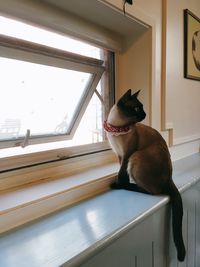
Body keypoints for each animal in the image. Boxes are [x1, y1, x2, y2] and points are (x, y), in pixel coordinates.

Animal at [104, 89, 186, 262]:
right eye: (136, 108)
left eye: (141, 108)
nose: (144, 114)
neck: (117, 128)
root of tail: (170, 178)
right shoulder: (119, 155)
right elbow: (120, 171)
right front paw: (120, 181)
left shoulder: (127, 154)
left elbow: (121, 173)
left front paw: (118, 183)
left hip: (136, 156)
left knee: (151, 191)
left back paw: (126, 186)